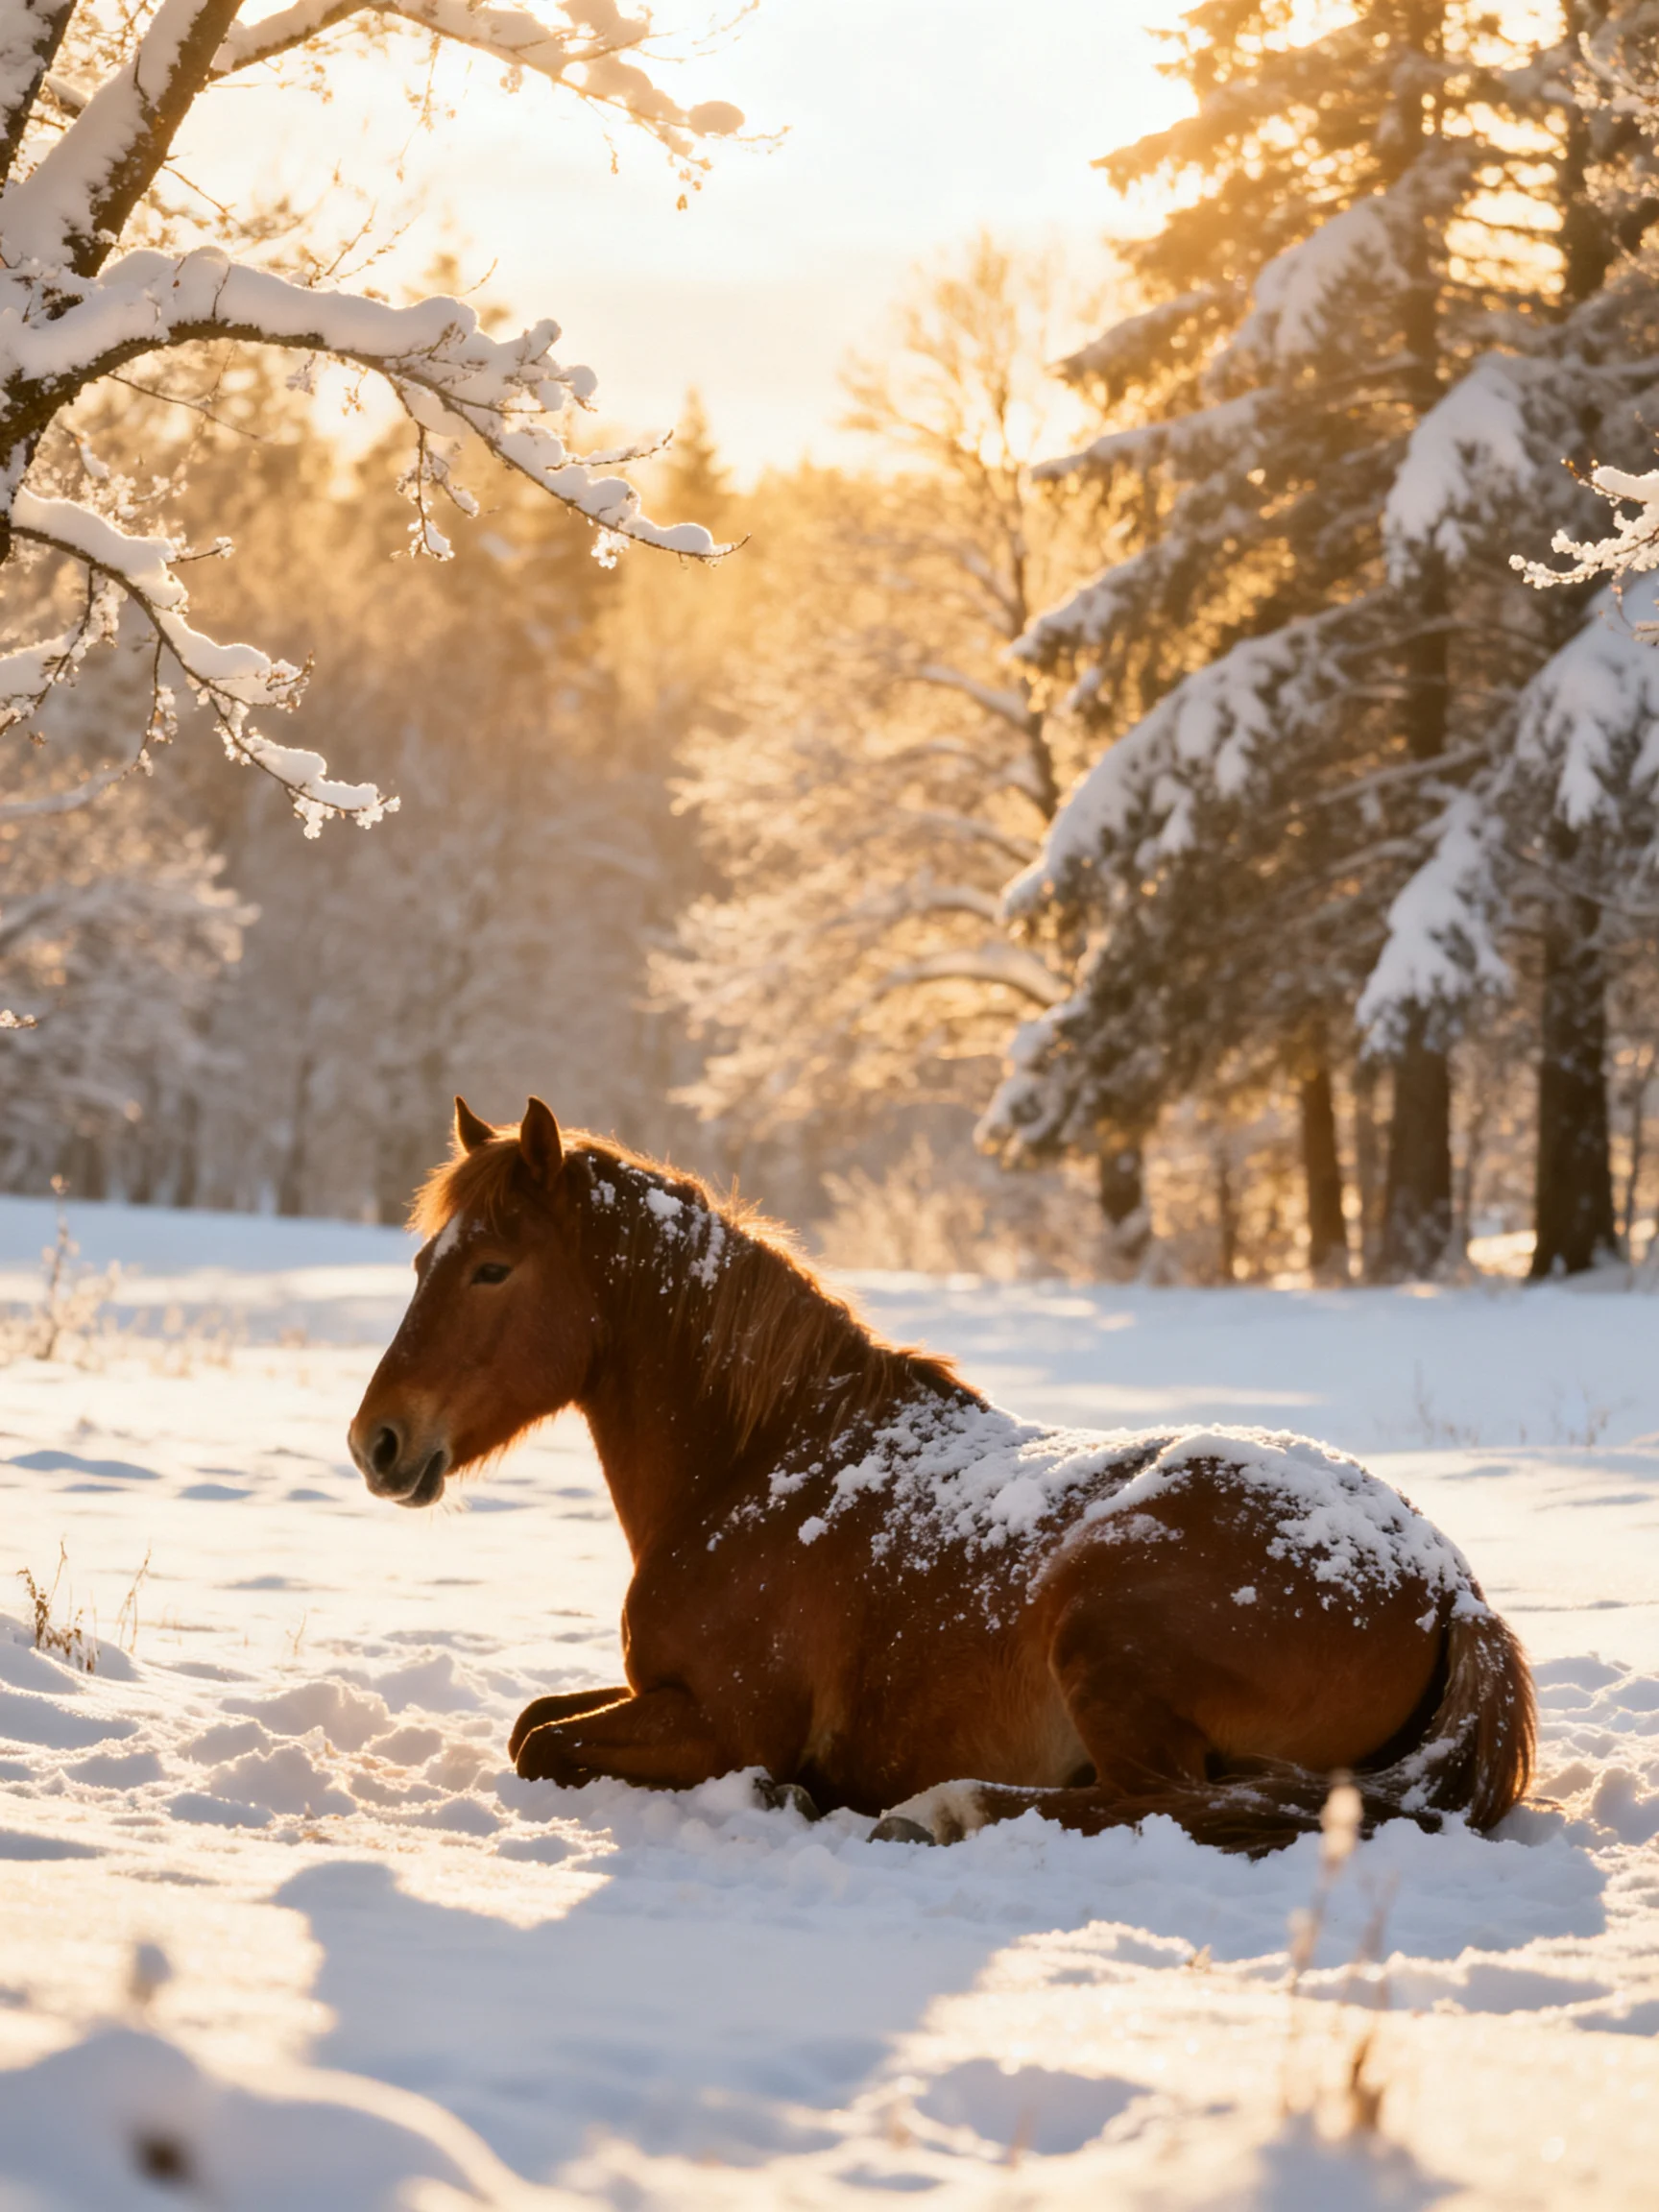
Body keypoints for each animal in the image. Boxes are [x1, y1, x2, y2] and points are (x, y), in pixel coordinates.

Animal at [347, 1097, 1535, 1853]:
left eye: (493, 1267)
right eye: (423, 1259)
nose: (377, 1442)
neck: (760, 1468)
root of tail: (1449, 1589)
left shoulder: (722, 1723)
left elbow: (544, 1745)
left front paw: (784, 1793)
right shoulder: (655, 1692)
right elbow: (530, 1719)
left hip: (1108, 1637)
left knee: (1157, 1804)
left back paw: (931, 1811)